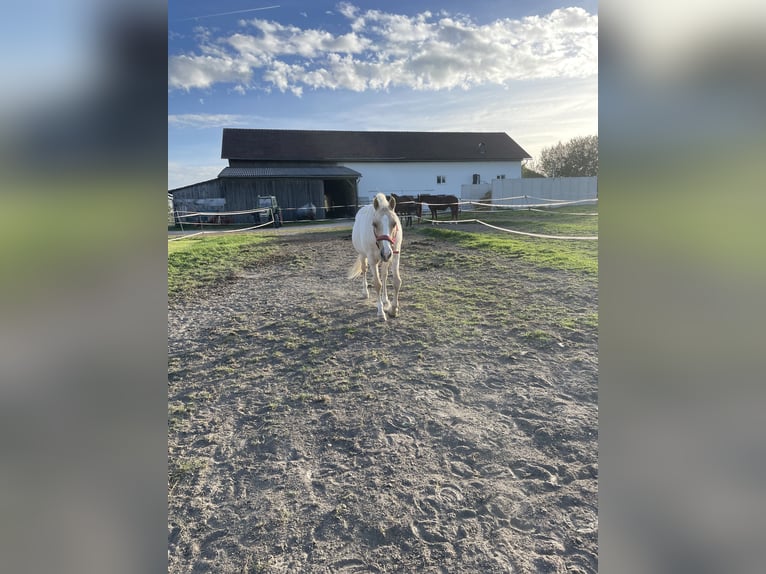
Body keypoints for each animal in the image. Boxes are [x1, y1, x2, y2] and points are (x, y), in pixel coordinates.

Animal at [350, 192, 404, 320]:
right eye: (374, 224)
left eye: (394, 223)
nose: (386, 253)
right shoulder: (372, 259)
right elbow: (377, 284)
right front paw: (380, 311)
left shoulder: (395, 256)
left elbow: (396, 281)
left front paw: (393, 309)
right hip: (363, 255)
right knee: (364, 270)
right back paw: (365, 292)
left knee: (384, 275)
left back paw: (385, 300)